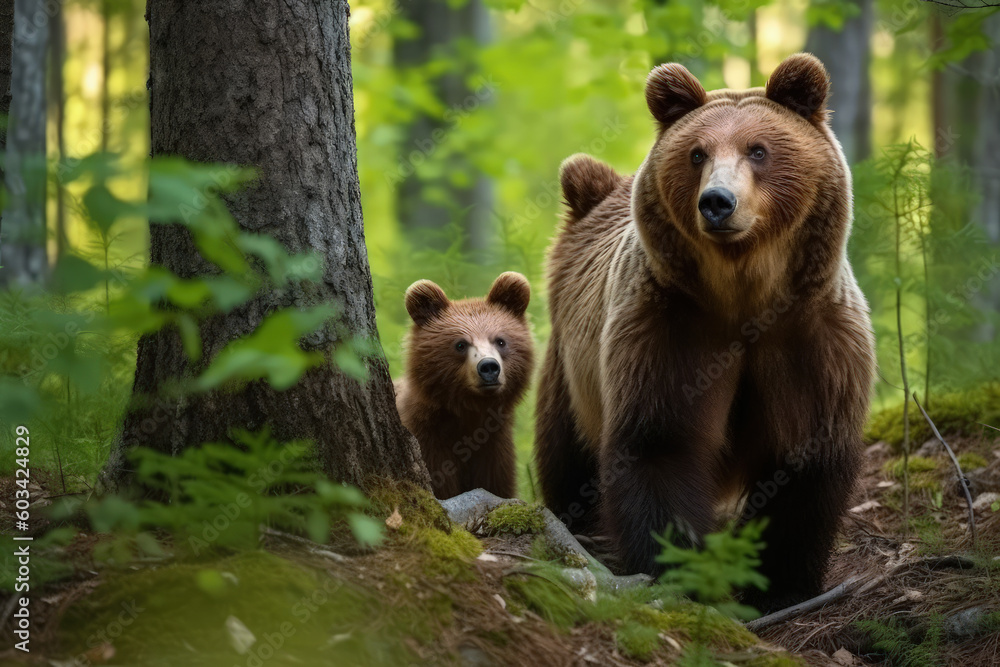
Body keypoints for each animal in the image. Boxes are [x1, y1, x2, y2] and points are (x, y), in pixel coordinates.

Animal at [397, 272, 535, 500]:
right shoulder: (428, 441)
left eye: (500, 341)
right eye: (460, 344)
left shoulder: (495, 448)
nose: (489, 367)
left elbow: (496, 485)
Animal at [534, 53, 875, 610]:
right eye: (697, 154)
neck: (744, 295)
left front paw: (781, 583)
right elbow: (662, 441)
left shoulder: (811, 334)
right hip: (571, 362)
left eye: (758, 149)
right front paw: (682, 571)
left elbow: (805, 453)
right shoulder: (672, 325)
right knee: (566, 455)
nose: (717, 201)